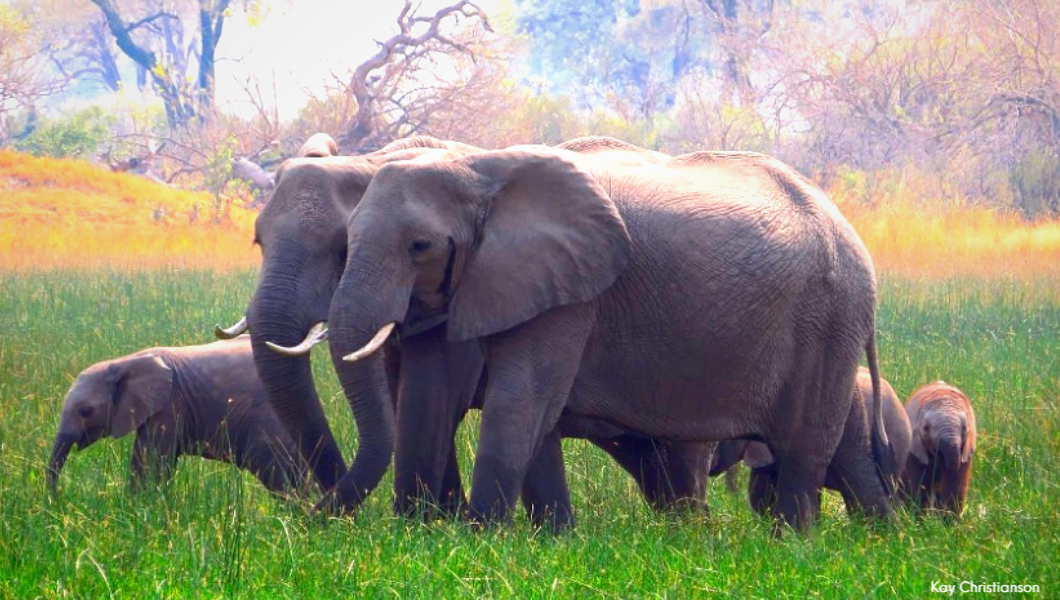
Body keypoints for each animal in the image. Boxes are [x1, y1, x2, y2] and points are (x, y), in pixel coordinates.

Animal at [49, 339, 307, 498]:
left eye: (85, 411)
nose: (57, 499)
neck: (124, 362)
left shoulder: (168, 405)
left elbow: (150, 461)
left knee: (273, 469)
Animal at [220, 134, 720, 523]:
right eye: (258, 241)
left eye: (340, 248)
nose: (310, 509)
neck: (377, 157)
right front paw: (436, 522)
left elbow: (431, 394)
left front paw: (427, 526)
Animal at [326, 135, 890, 532]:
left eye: (419, 246)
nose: (316, 521)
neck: (484, 166)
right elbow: (527, 410)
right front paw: (547, 540)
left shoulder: (574, 295)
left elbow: (522, 399)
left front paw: (476, 539)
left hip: (829, 319)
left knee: (804, 449)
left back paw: (797, 544)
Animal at [903, 385, 975, 517]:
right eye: (925, 428)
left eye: (964, 428)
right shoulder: (915, 450)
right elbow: (922, 484)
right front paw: (923, 519)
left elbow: (956, 483)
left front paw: (949, 520)